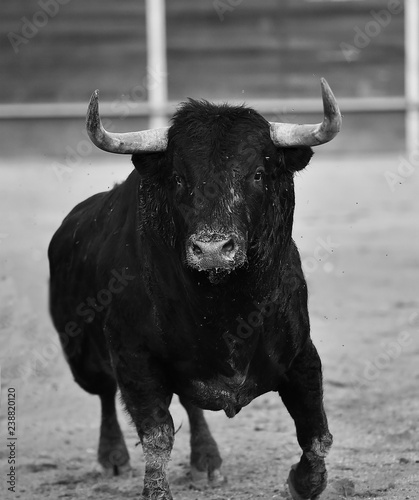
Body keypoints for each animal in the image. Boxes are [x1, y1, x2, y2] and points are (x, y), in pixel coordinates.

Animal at [49, 79, 342, 500]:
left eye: (258, 173)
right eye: (178, 178)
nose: (213, 249)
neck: (224, 306)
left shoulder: (301, 354)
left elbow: (316, 433)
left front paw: (302, 483)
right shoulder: (133, 358)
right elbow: (157, 436)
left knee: (191, 405)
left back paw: (206, 460)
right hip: (82, 357)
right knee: (105, 393)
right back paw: (113, 457)